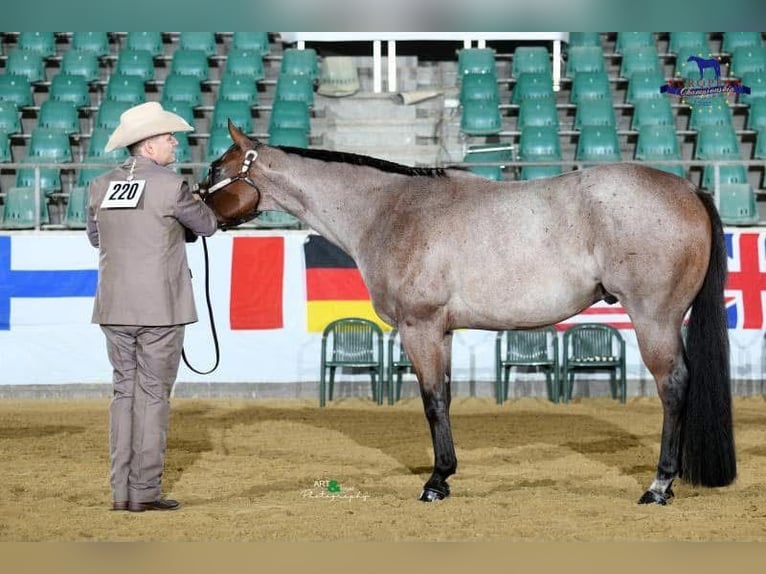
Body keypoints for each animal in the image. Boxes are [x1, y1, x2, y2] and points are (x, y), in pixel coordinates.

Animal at [199, 121, 736, 505]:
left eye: (214, 169)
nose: (196, 207)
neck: (391, 210)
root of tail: (688, 190)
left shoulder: (419, 327)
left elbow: (432, 402)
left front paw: (435, 482)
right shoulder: (442, 331)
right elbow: (446, 398)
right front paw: (447, 472)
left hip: (654, 319)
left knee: (674, 387)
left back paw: (659, 486)